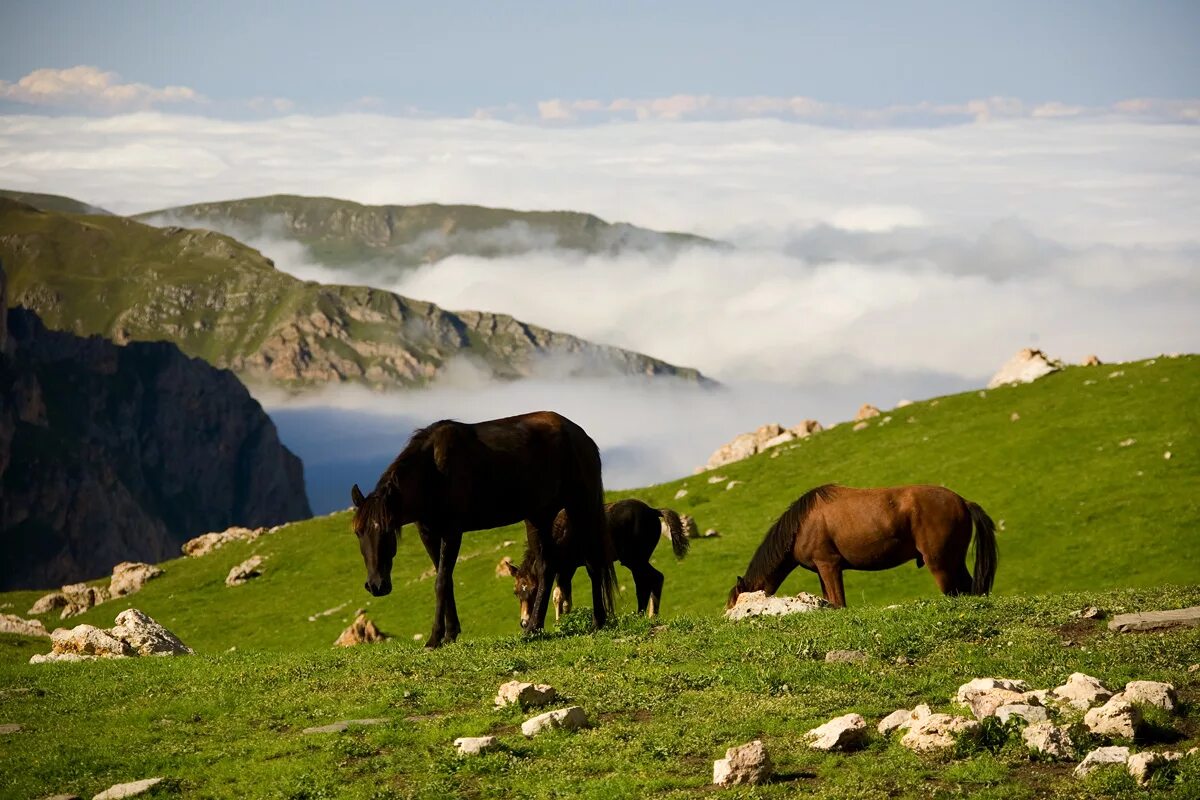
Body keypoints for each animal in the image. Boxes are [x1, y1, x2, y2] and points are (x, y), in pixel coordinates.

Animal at [350, 410, 614, 647]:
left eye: (387, 530)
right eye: (358, 532)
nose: (376, 586)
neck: (432, 472)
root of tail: (583, 438)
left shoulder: (452, 532)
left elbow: (441, 582)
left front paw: (434, 639)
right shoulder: (428, 534)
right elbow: (445, 580)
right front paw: (450, 633)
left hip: (580, 507)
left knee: (592, 562)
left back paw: (597, 621)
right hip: (538, 518)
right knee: (547, 568)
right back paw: (534, 628)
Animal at [496, 501, 691, 623]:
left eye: (533, 589)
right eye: (515, 592)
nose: (524, 622)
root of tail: (653, 511)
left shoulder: (566, 568)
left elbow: (558, 595)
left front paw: (559, 624)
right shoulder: (566, 569)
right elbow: (565, 597)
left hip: (634, 559)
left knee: (652, 579)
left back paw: (647, 616)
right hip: (636, 560)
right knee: (647, 582)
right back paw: (647, 616)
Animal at [729, 484, 993, 609]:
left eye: (734, 603)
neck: (800, 526)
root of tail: (963, 501)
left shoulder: (829, 565)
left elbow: (839, 603)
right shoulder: (823, 571)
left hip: (940, 562)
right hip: (954, 560)